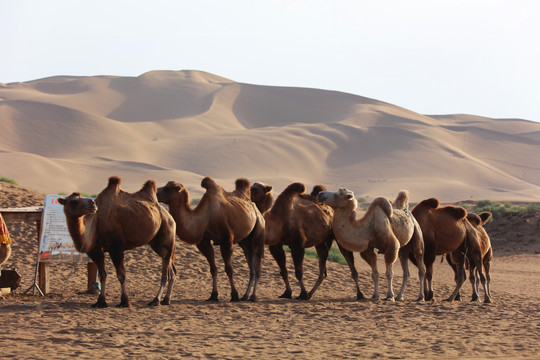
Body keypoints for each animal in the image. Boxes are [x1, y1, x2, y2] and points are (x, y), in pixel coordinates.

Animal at [58, 176, 177, 308]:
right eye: (73, 201)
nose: (92, 203)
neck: (95, 223)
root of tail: (168, 215)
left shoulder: (116, 247)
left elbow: (121, 275)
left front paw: (124, 301)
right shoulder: (95, 250)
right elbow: (102, 274)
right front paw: (100, 301)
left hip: (167, 233)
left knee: (165, 272)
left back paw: (156, 300)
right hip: (156, 243)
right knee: (172, 270)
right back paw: (166, 300)